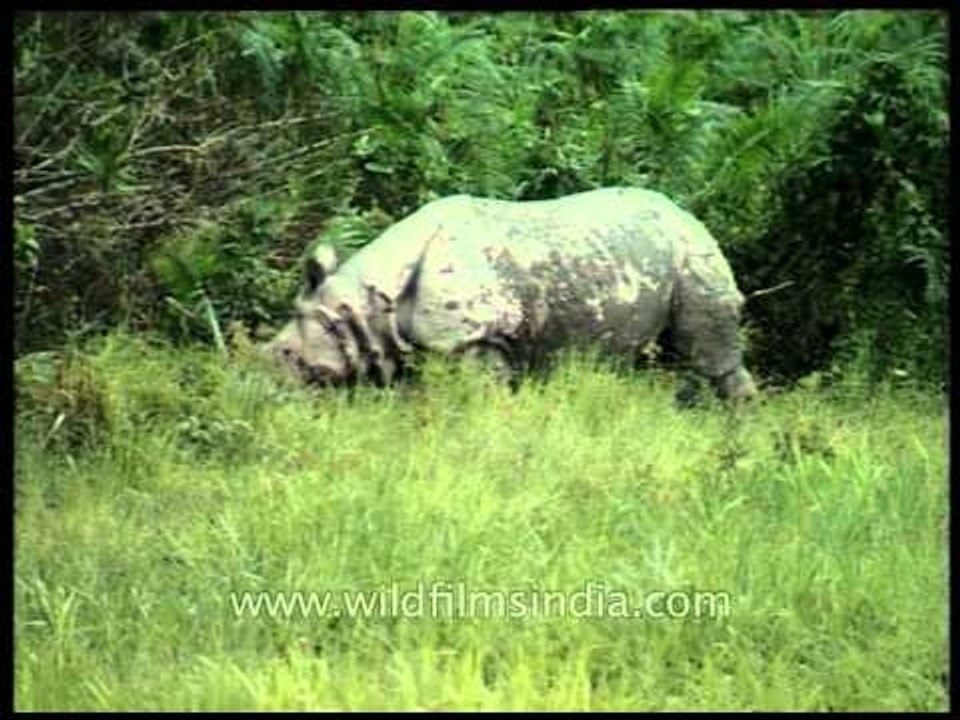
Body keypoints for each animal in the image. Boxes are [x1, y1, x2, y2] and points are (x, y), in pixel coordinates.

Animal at [266, 187, 758, 401]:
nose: (267, 377)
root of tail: (687, 212)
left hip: (694, 254)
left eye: (287, 354)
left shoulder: (473, 337)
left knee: (707, 354)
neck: (368, 301)